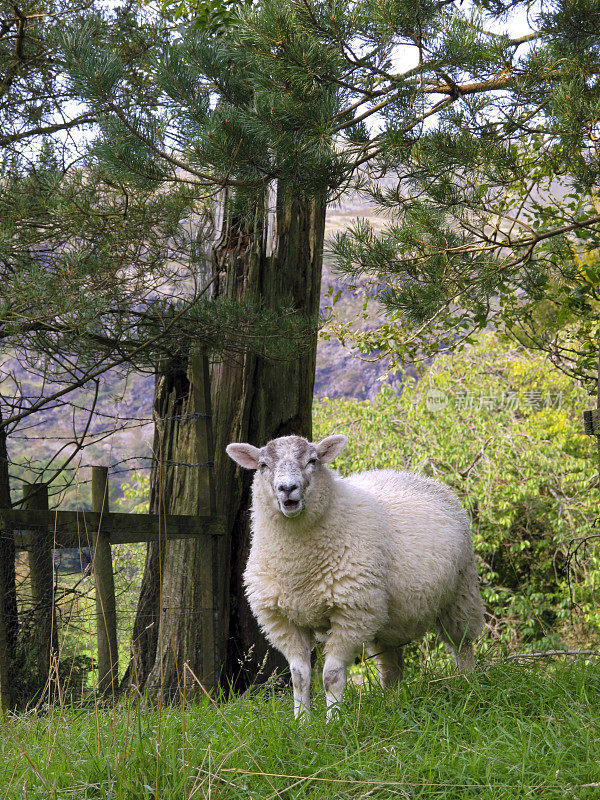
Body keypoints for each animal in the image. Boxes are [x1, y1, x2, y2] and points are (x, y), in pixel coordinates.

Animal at [225, 434, 482, 720]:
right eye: (262, 465)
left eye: (313, 460)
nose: (287, 488)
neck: (298, 569)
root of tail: (414, 476)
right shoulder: (282, 619)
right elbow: (299, 677)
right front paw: (302, 721)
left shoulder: (352, 613)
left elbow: (331, 676)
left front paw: (333, 720)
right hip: (390, 621)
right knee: (391, 665)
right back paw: (392, 702)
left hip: (460, 593)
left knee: (462, 645)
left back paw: (467, 684)